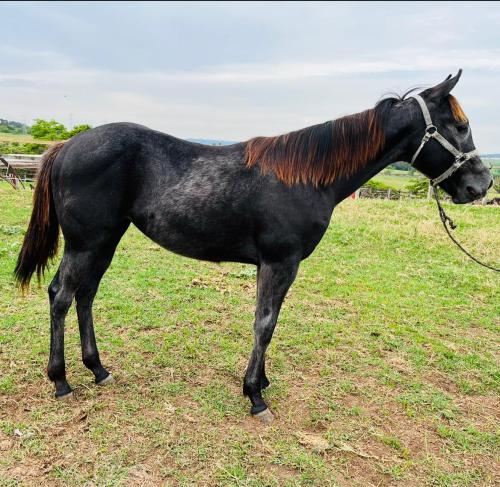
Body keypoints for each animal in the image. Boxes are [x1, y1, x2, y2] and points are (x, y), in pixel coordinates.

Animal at [14, 69, 492, 424]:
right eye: (460, 125)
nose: (482, 184)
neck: (306, 176)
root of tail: (66, 146)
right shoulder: (280, 263)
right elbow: (265, 324)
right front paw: (255, 397)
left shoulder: (275, 266)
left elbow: (269, 322)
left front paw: (259, 383)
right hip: (86, 243)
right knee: (61, 296)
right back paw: (61, 381)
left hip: (104, 241)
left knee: (85, 296)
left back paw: (98, 369)